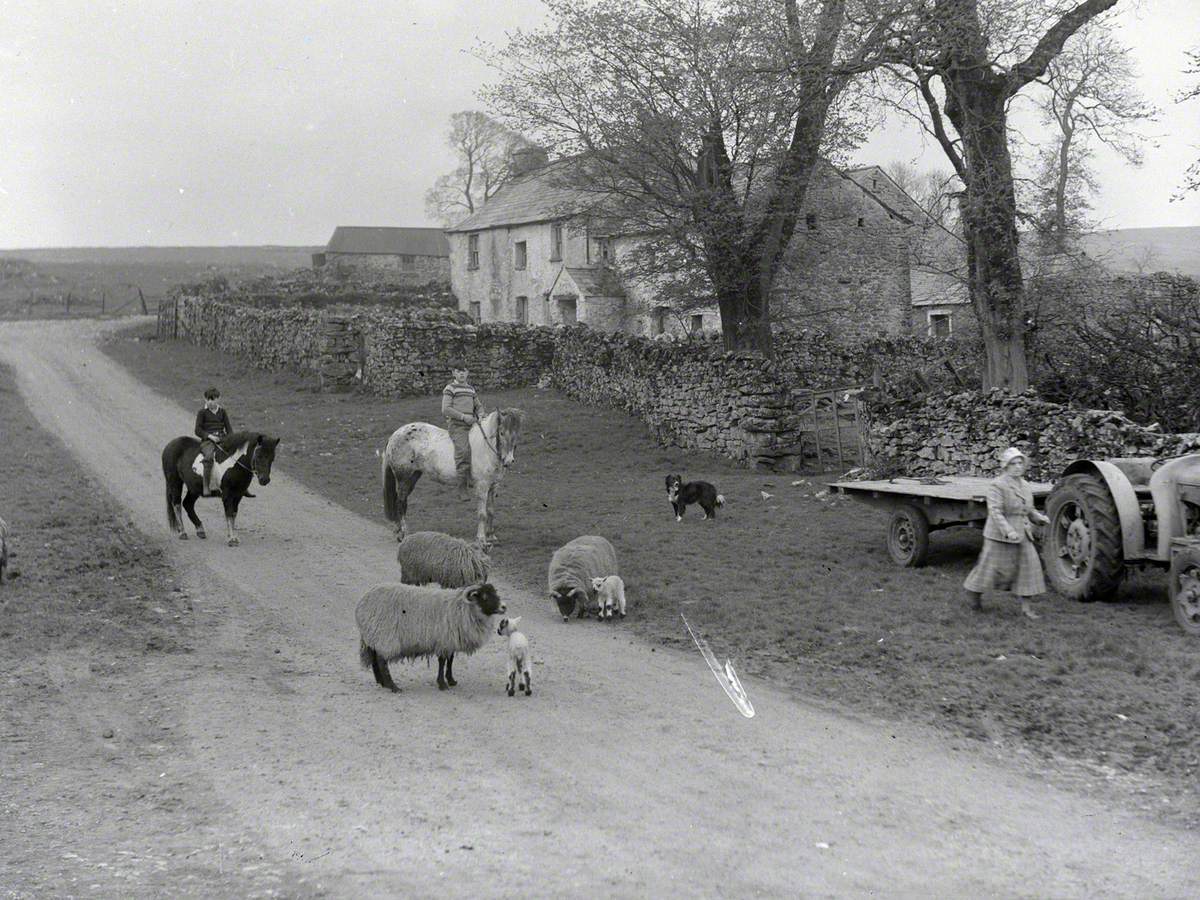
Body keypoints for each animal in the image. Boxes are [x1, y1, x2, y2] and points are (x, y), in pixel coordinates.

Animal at [355, 580, 506, 696]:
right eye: (484, 597)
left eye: (495, 592)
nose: (504, 607)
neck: (462, 609)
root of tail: (361, 604)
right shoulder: (443, 640)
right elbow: (442, 661)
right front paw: (442, 684)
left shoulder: (449, 641)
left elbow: (450, 660)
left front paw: (451, 680)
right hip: (385, 637)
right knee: (382, 661)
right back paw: (393, 686)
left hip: (375, 637)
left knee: (374, 657)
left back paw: (381, 682)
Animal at [379, 410, 520, 549]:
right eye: (501, 433)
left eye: (516, 434)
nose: (509, 461)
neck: (486, 449)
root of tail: (395, 435)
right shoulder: (482, 487)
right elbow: (482, 514)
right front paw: (482, 540)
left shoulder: (493, 486)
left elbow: (491, 511)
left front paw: (492, 537)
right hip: (403, 478)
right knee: (400, 504)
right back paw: (403, 534)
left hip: (413, 477)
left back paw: (399, 531)